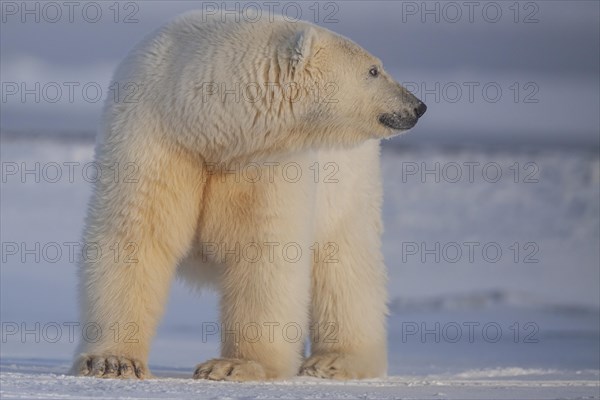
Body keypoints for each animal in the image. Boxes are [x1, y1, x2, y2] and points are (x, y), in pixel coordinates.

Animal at [71, 9, 426, 382]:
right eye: (373, 70)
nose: (417, 106)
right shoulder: (155, 136)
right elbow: (136, 235)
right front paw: (112, 361)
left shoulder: (268, 161)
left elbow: (265, 251)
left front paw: (232, 365)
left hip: (349, 185)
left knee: (345, 266)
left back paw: (334, 360)